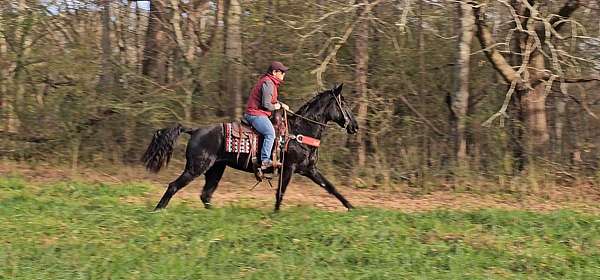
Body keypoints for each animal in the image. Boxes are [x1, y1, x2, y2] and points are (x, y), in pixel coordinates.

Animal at [143, 84, 358, 211]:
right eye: (344, 103)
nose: (355, 126)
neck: (300, 131)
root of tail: (195, 130)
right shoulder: (289, 168)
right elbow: (280, 193)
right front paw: (276, 215)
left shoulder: (310, 169)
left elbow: (331, 187)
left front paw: (351, 207)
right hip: (196, 167)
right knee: (174, 186)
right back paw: (158, 211)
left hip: (216, 169)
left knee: (206, 195)